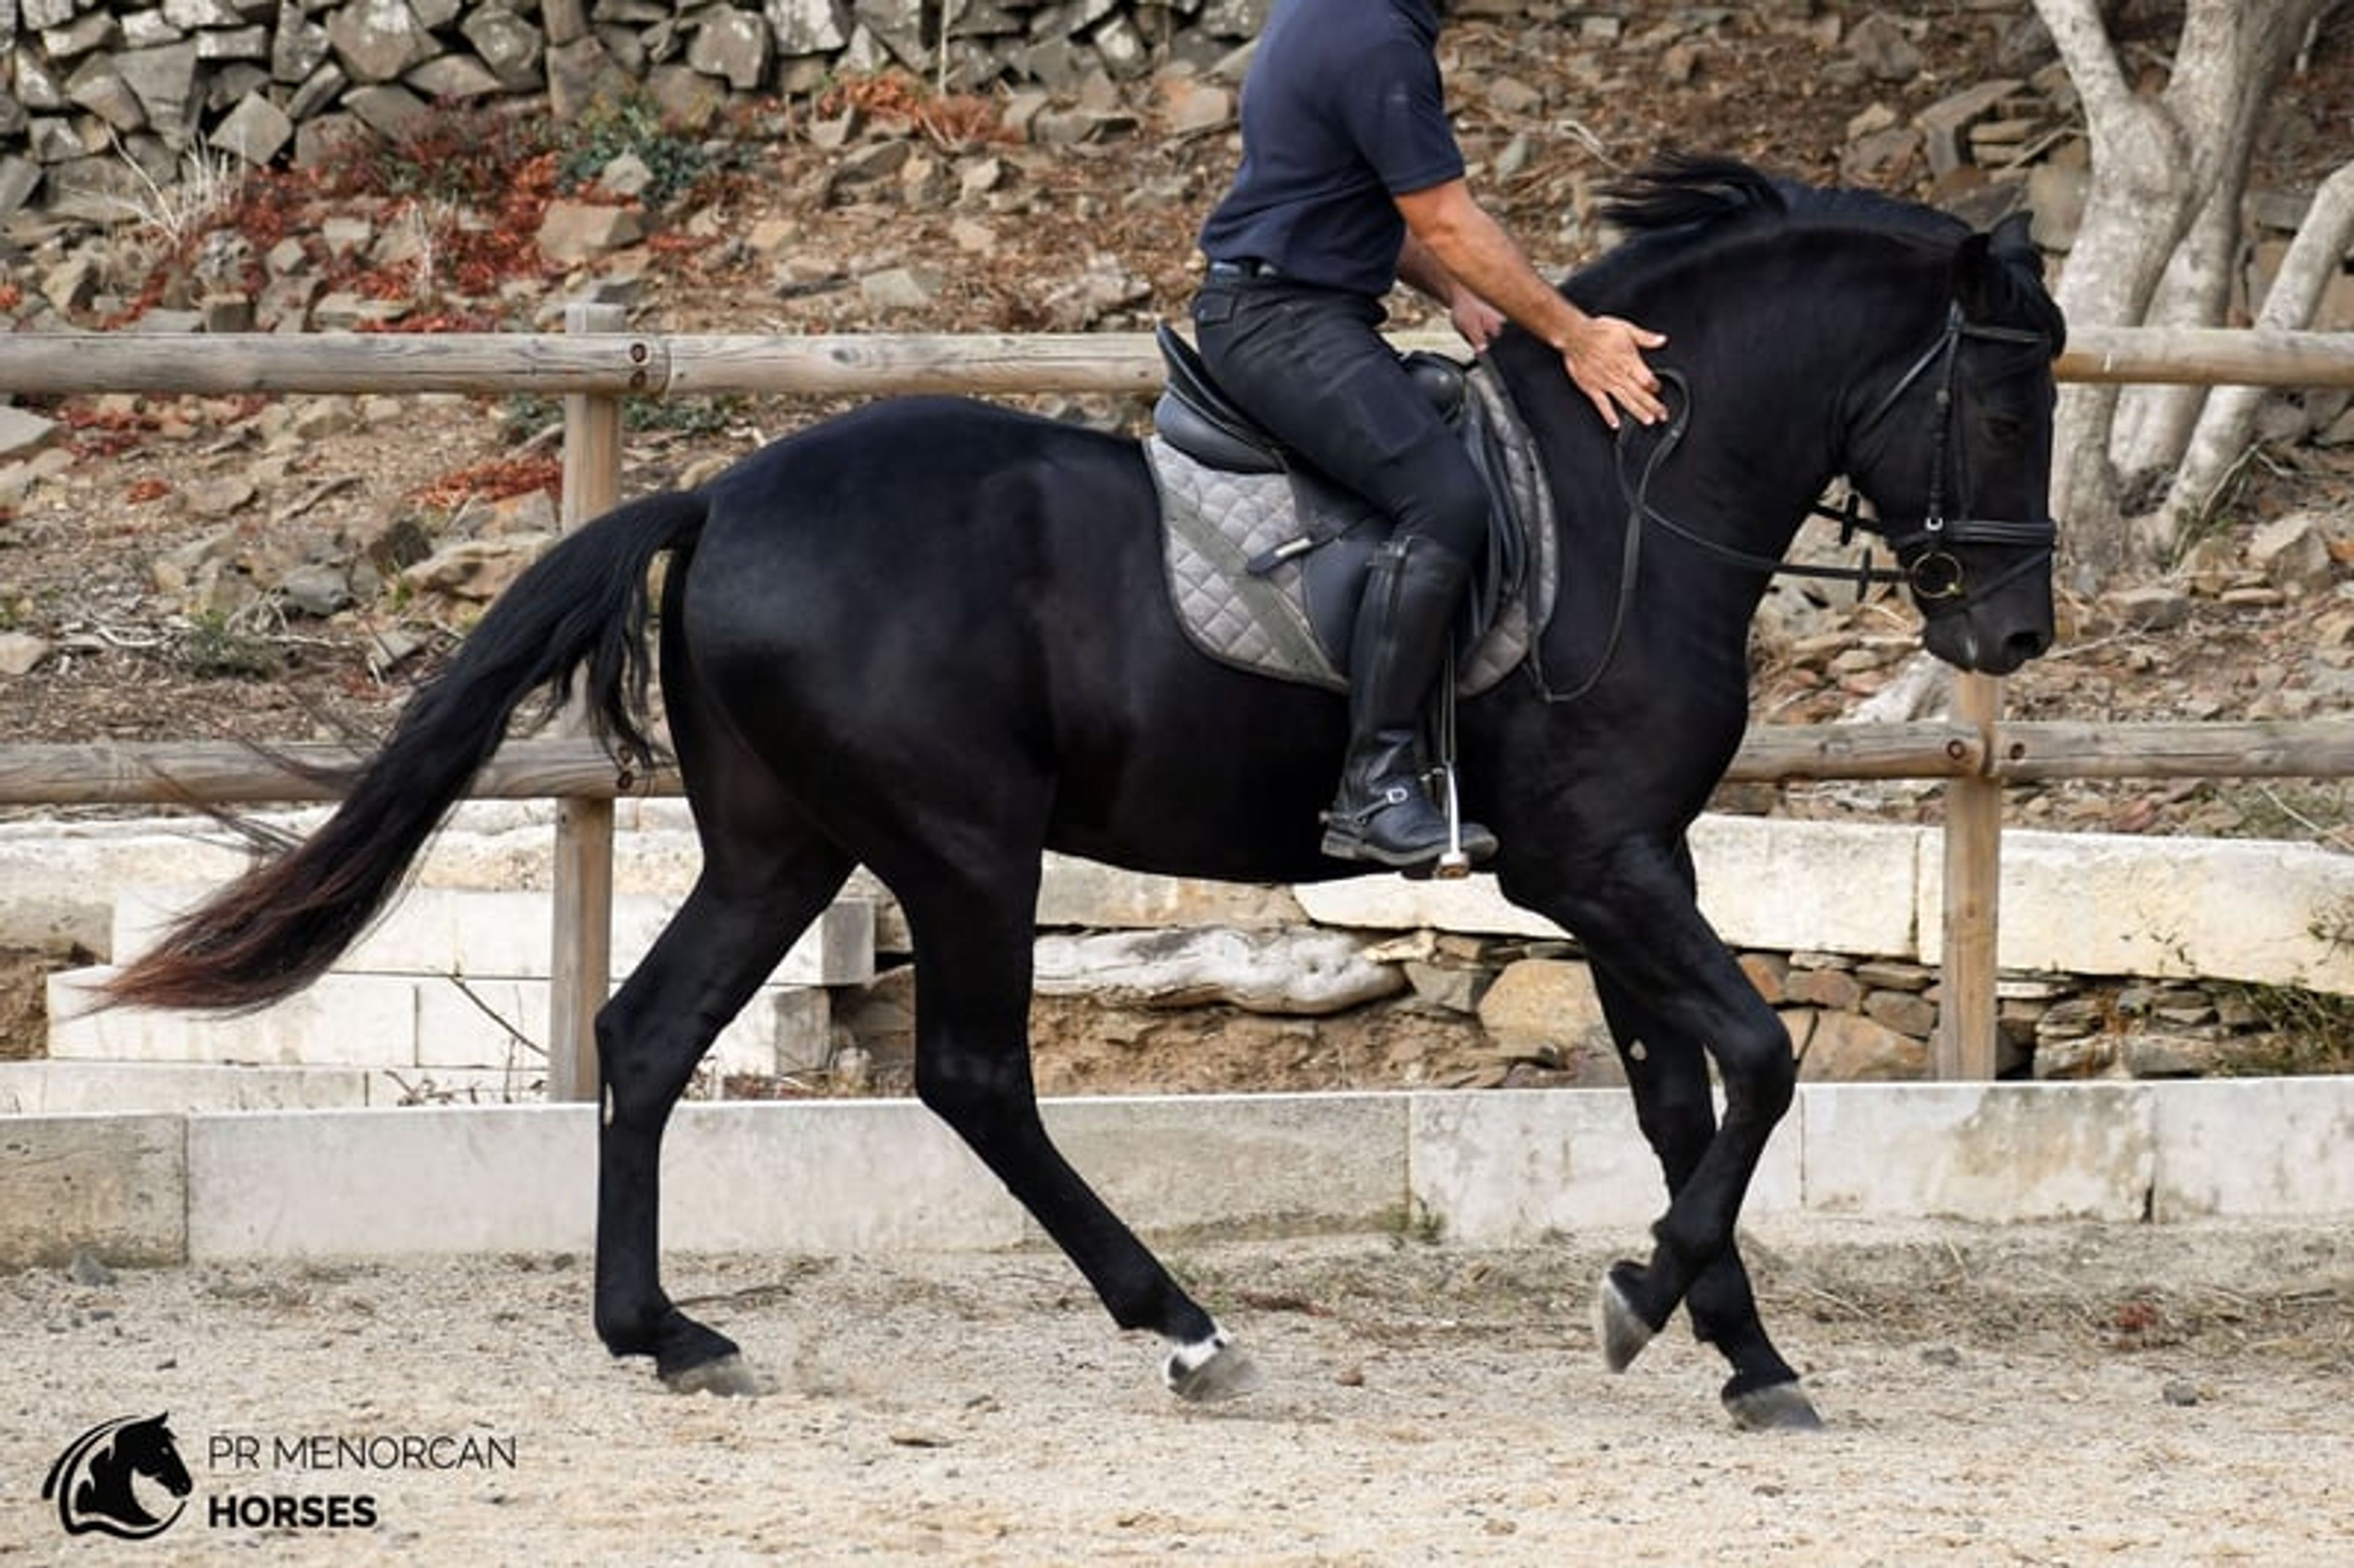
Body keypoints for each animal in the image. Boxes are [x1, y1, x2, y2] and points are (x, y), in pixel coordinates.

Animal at [103, 156, 2064, 1430]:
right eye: (2004, 401)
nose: (2017, 628)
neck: (1621, 494)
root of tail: (722, 497)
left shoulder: (1608, 871)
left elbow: (1680, 1094)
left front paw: (1735, 1347)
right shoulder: (1601, 860)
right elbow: (1758, 1058)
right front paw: (1650, 1301)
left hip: (783, 844)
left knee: (648, 1034)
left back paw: (667, 1333)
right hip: (962, 844)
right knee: (973, 1076)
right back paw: (1186, 1329)